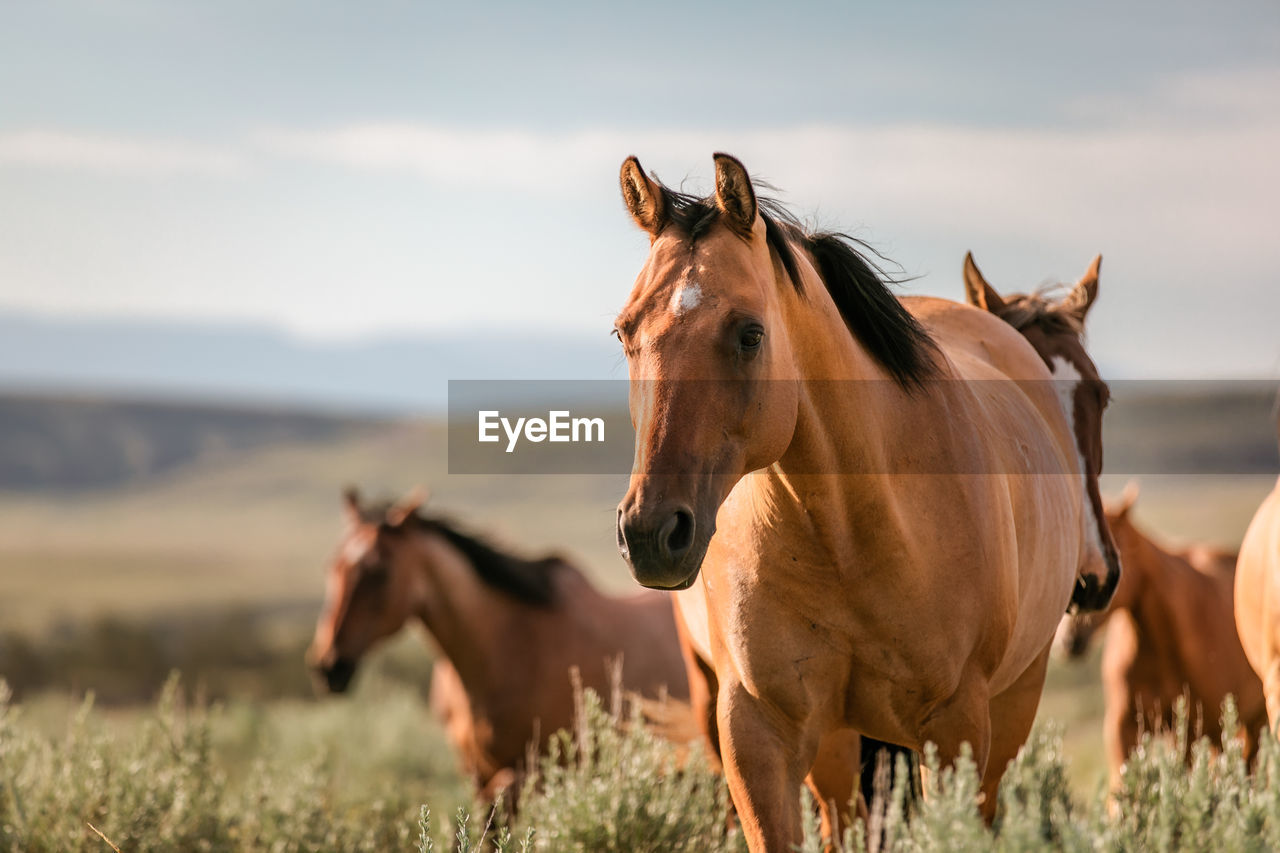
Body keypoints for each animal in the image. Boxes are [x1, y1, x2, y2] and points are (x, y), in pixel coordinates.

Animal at [307, 489, 691, 799]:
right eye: (331, 567)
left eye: (379, 572)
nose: (328, 667)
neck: (504, 649)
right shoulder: (475, 777)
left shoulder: (524, 775)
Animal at [609, 149, 1111, 845]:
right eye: (624, 333)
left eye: (749, 334)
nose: (652, 533)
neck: (847, 535)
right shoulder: (757, 734)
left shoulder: (955, 729)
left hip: (1005, 715)